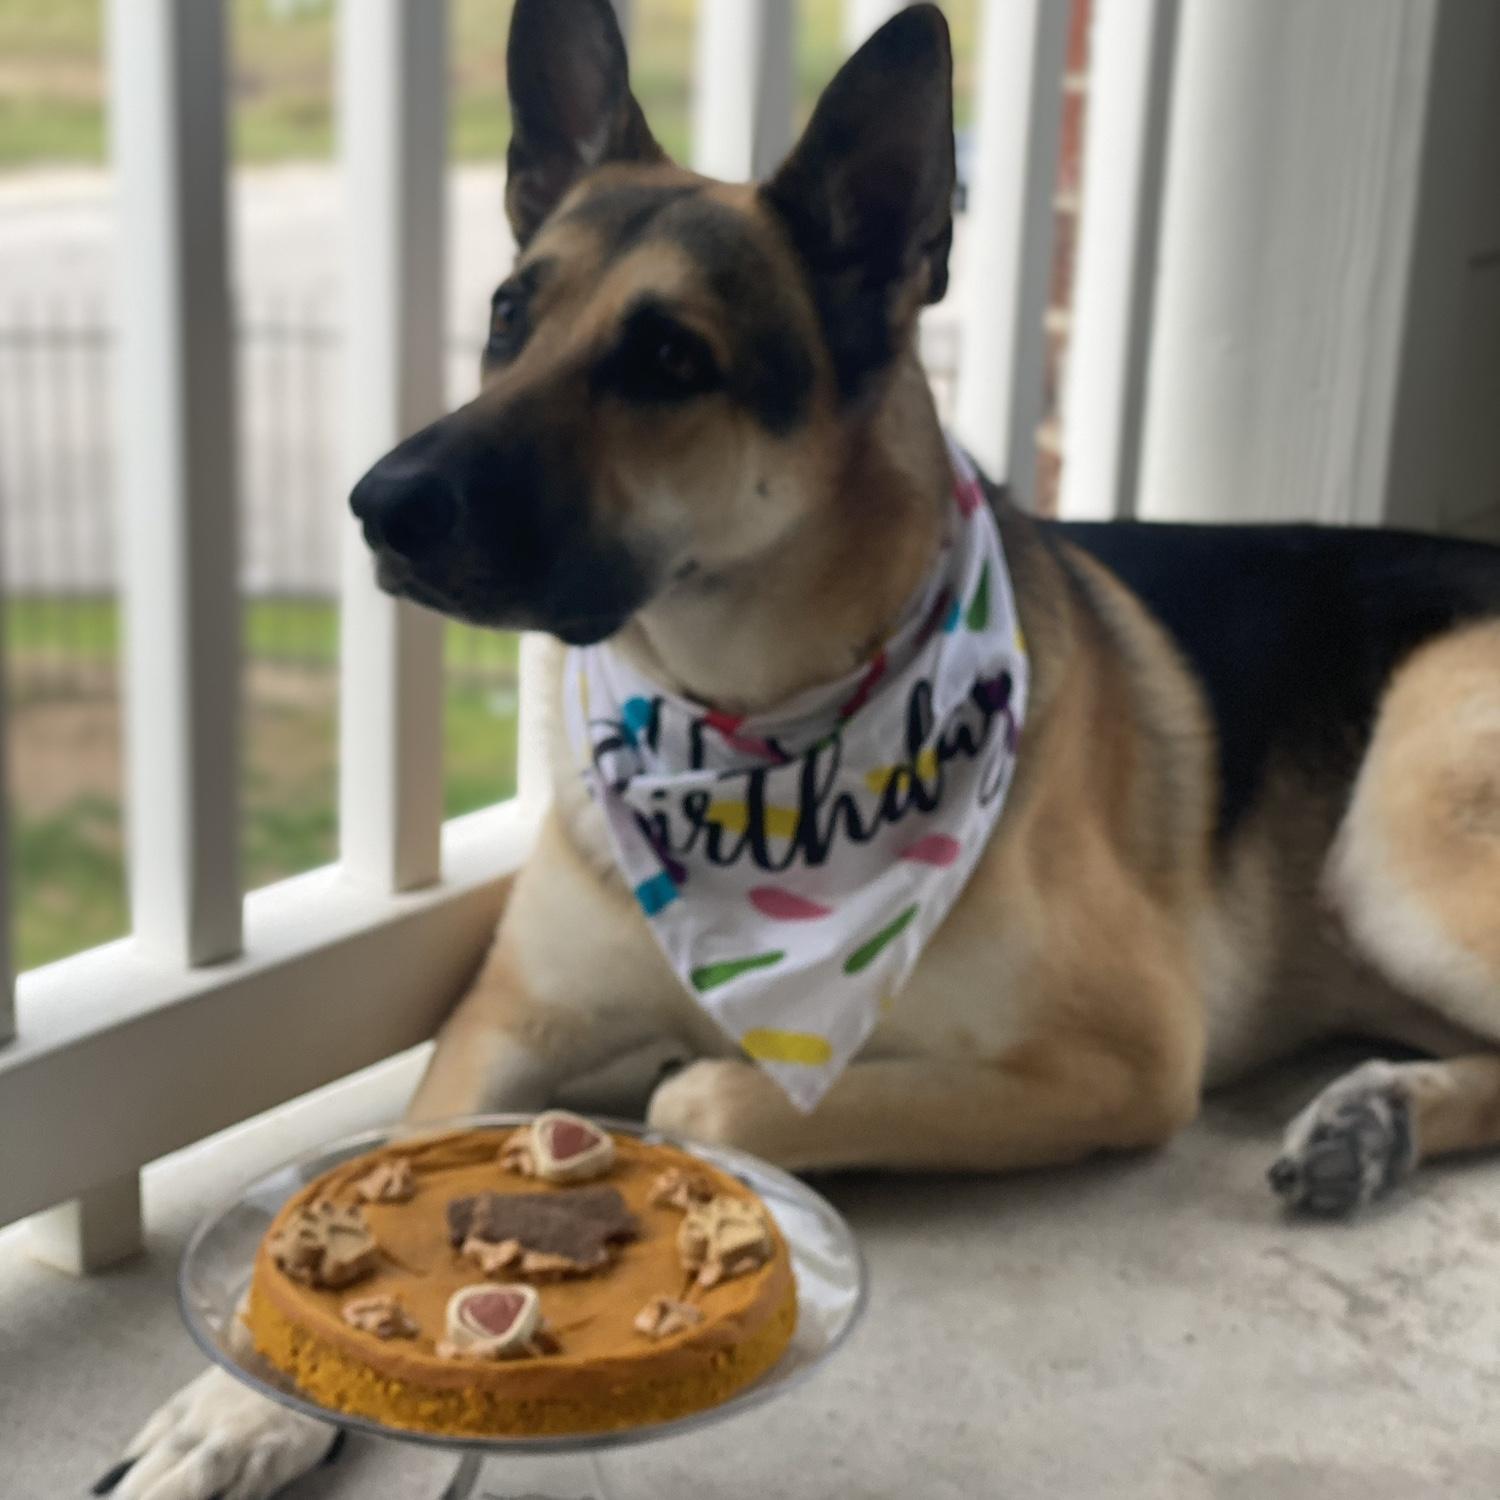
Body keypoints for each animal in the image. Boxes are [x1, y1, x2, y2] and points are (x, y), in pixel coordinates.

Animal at [98, 4, 1500, 1497]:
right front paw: (240, 1403)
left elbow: (710, 1089)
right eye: (507, 316)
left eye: (670, 360)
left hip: (1397, 850)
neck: (749, 727)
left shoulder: (1125, 1062)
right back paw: (1379, 1117)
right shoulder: (509, 1018)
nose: (381, 505)